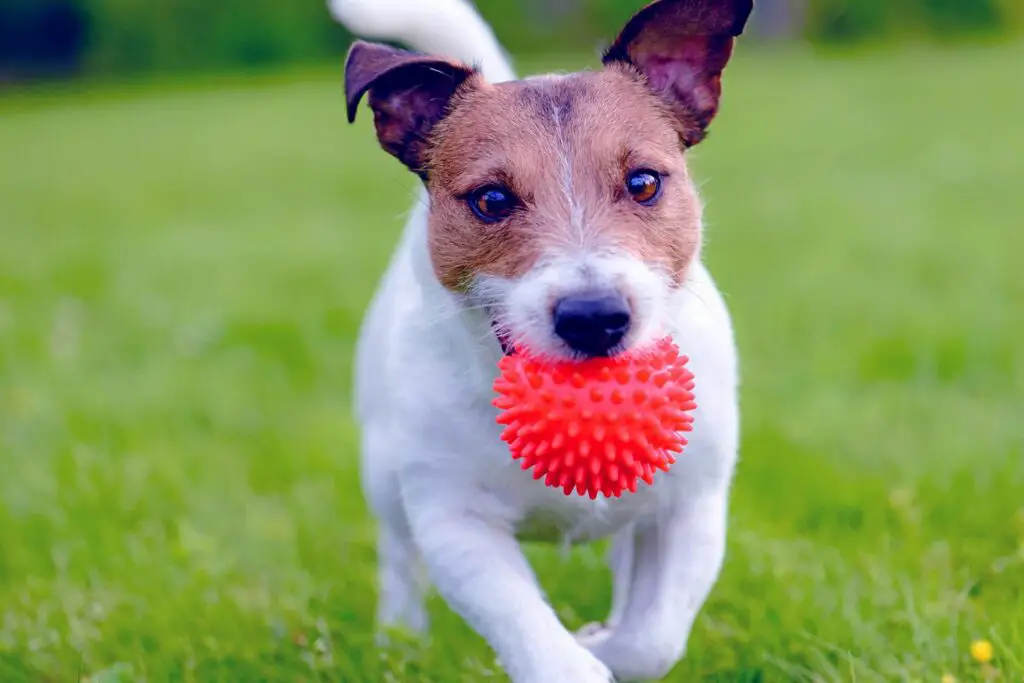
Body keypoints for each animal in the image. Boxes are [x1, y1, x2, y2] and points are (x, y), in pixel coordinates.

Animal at [331, 1, 749, 683]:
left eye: (643, 183)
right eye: (492, 199)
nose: (594, 317)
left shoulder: (689, 508)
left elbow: (652, 638)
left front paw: (603, 641)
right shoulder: (455, 523)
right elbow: (540, 641)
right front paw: (581, 654)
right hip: (383, 470)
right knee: (397, 555)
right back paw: (400, 638)